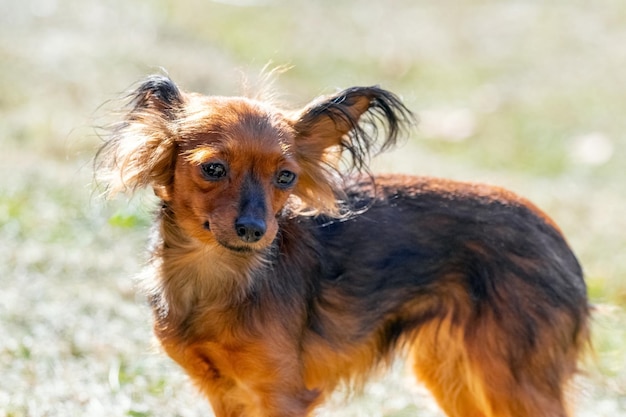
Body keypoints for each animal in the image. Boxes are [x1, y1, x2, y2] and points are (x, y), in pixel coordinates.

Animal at [95, 75, 588, 416]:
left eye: (286, 178)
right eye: (212, 169)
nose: (255, 229)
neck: (221, 277)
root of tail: (557, 238)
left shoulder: (280, 395)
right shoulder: (226, 394)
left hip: (511, 380)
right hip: (457, 374)